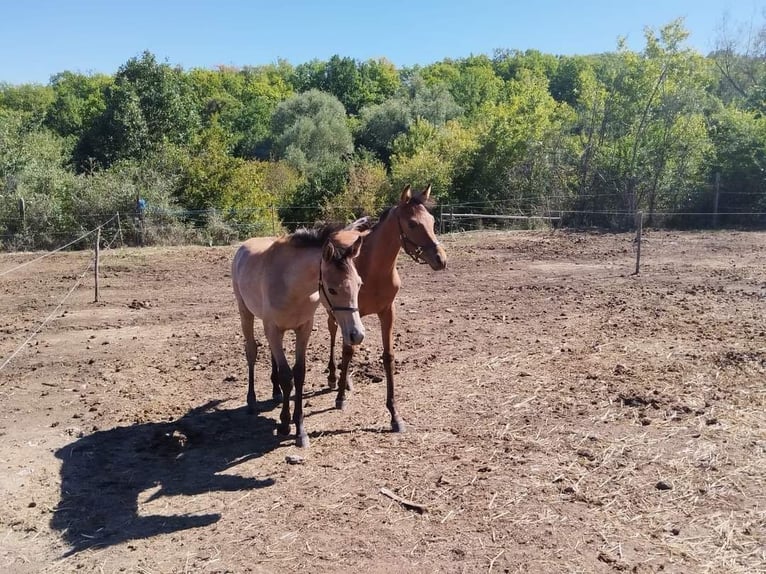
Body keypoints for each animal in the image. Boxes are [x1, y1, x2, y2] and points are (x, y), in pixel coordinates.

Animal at [231, 222, 368, 450]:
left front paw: (299, 429)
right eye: (332, 289)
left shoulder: (303, 328)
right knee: (251, 352)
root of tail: (243, 248)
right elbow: (287, 376)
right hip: (245, 312)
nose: (356, 334)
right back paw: (251, 400)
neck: (291, 285)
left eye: (359, 284)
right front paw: (286, 424)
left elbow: (299, 374)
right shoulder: (273, 328)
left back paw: (275, 391)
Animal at [326, 187, 448, 434]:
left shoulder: (387, 312)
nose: (440, 259)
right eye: (412, 224)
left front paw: (394, 415)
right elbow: (348, 350)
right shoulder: (350, 311)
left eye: (432, 221)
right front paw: (340, 397)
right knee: (334, 334)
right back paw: (334, 377)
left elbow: (387, 356)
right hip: (334, 312)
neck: (373, 269)